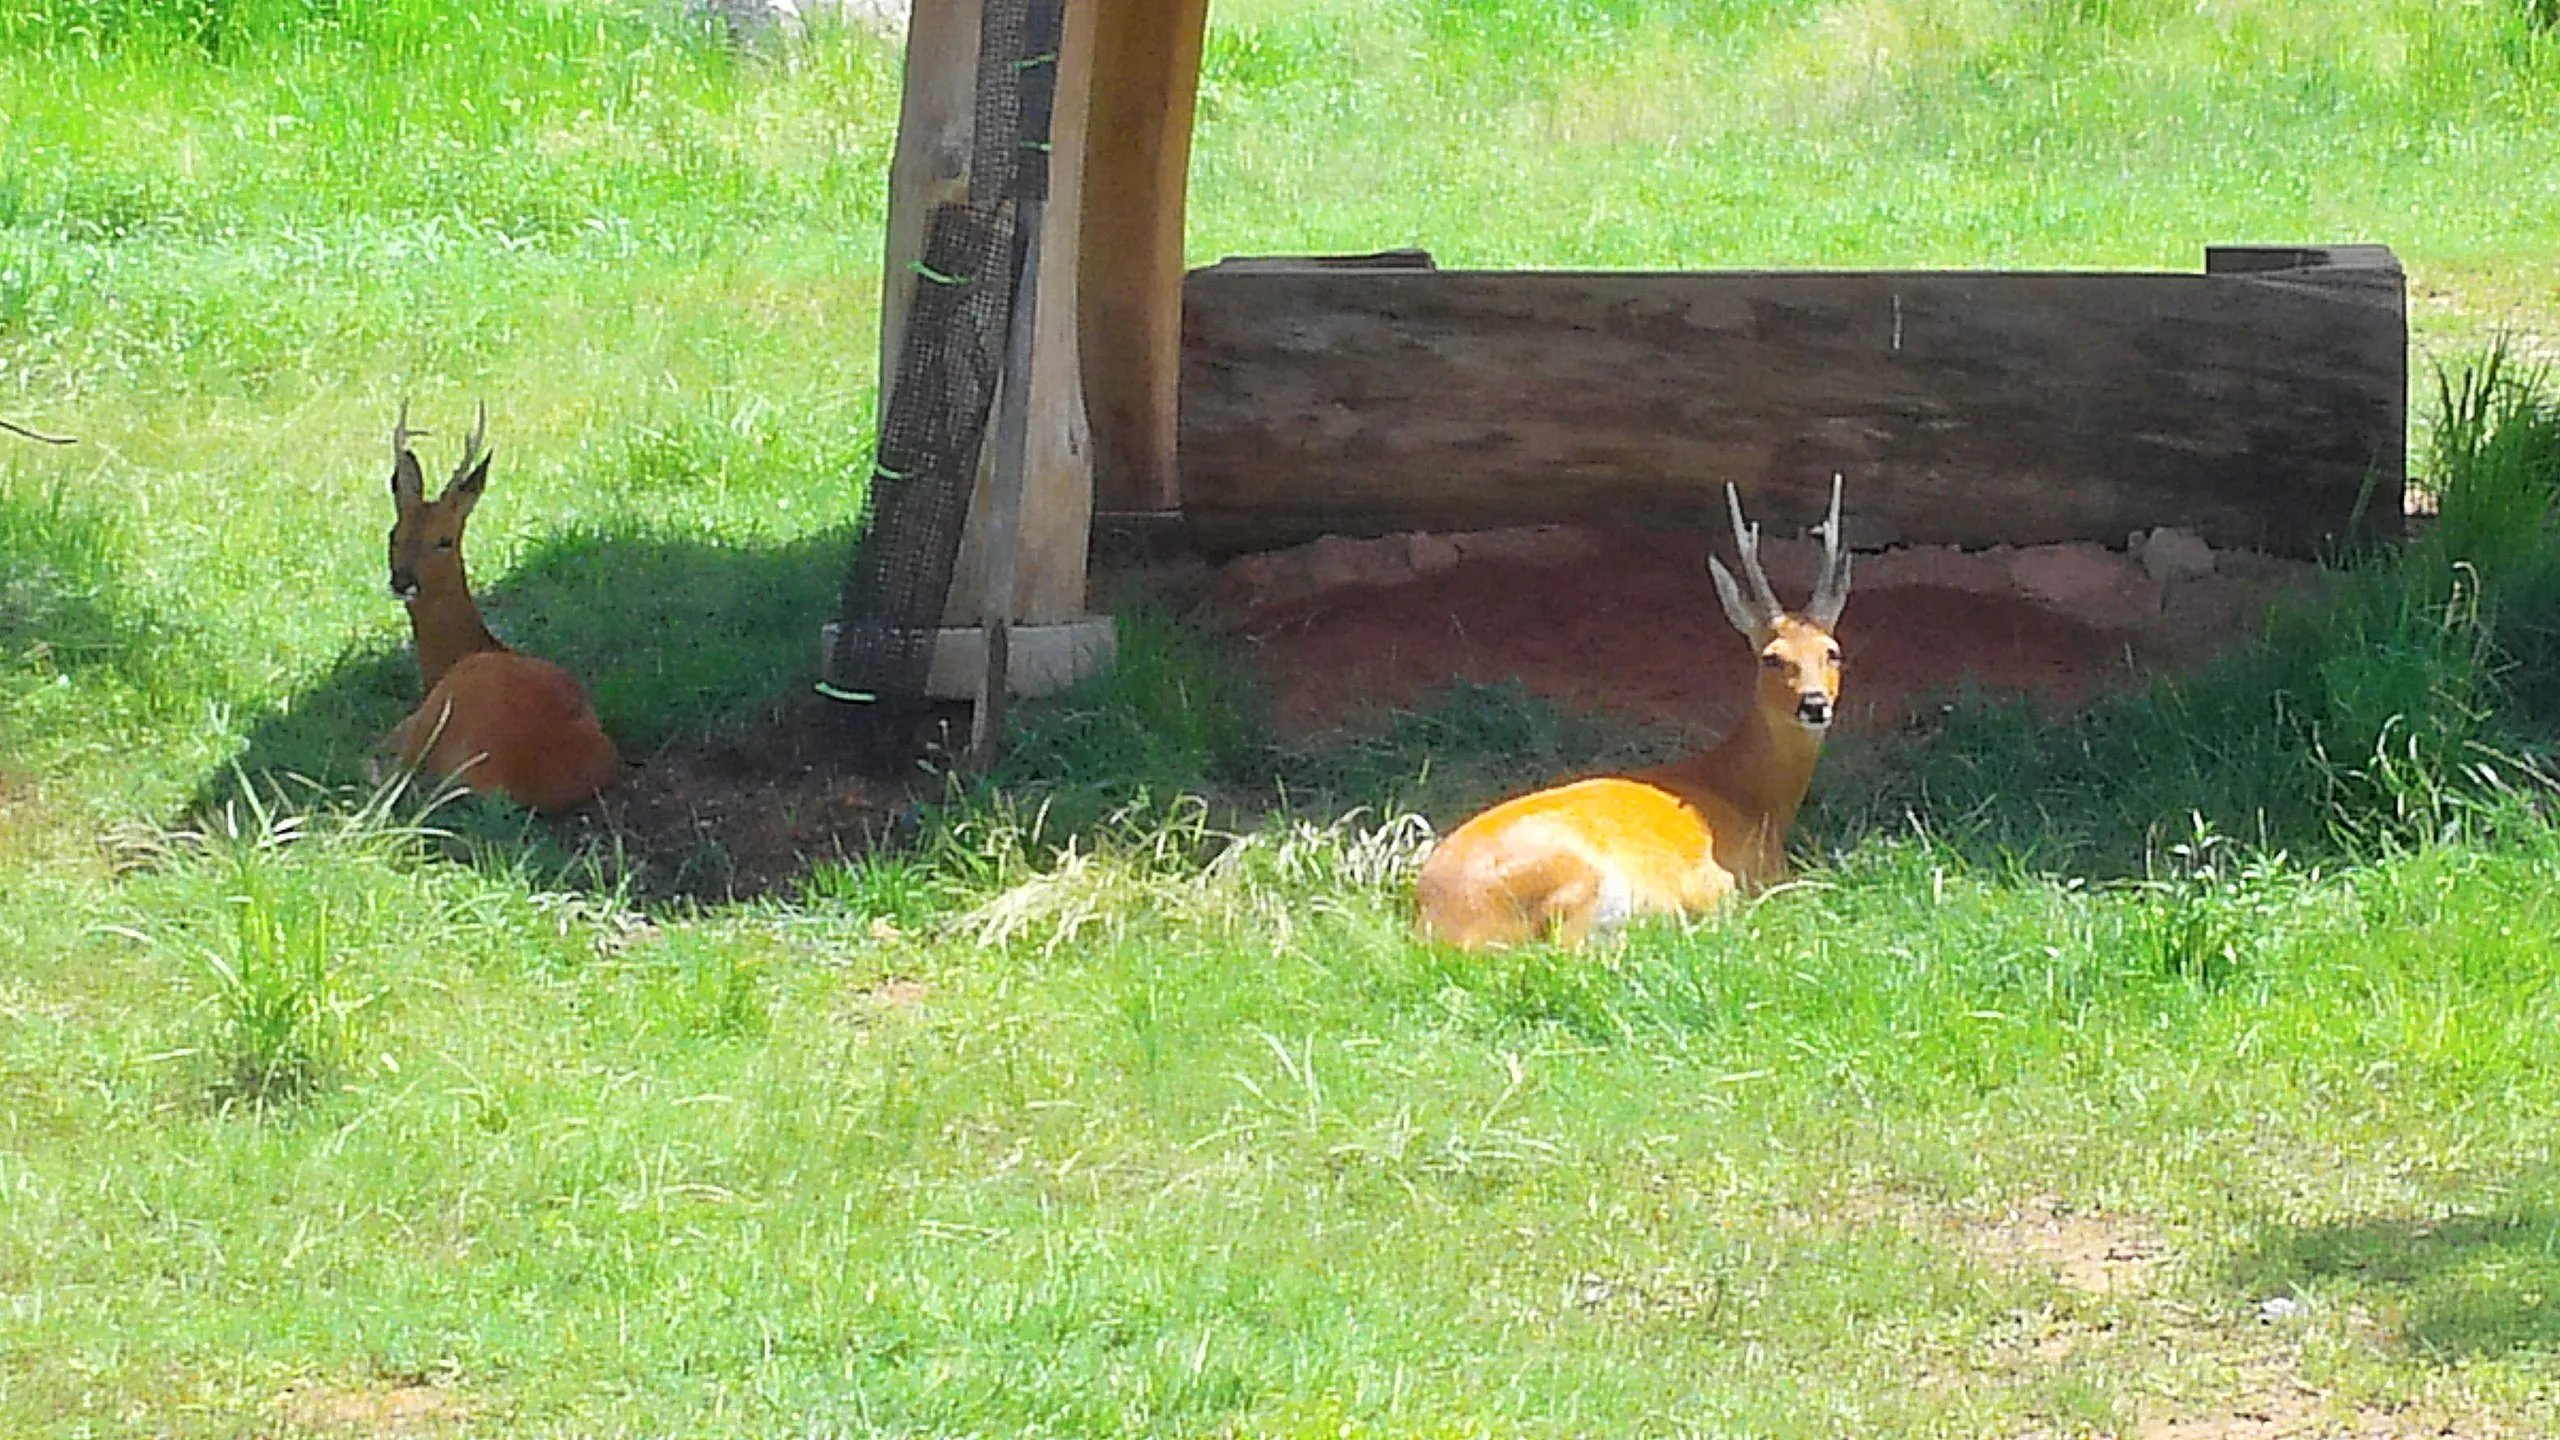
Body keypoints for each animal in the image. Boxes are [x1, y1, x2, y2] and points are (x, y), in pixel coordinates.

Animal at [1413, 476, 1853, 948]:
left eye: (1833, 652)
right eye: (1771, 658)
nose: (1814, 704)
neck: (1751, 800)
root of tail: (1435, 921)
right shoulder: (1728, 878)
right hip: (1575, 877)